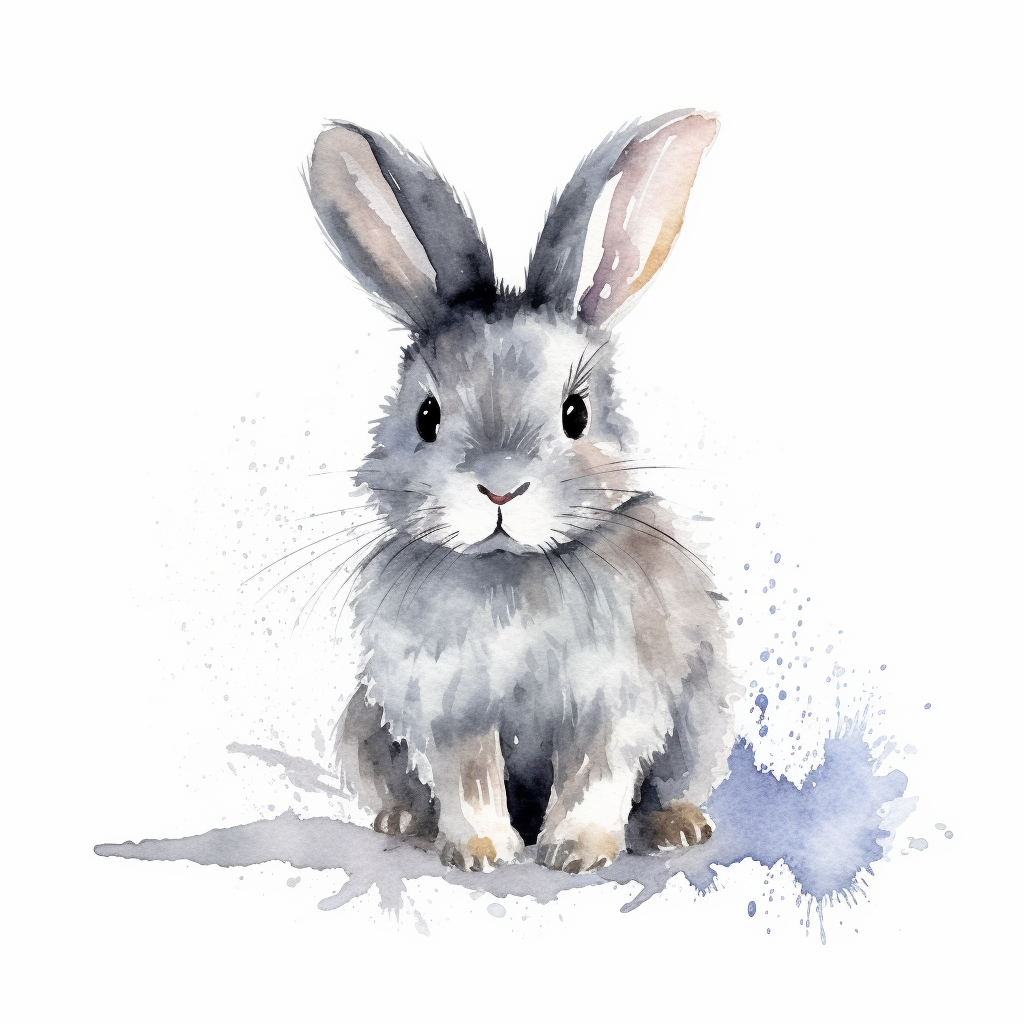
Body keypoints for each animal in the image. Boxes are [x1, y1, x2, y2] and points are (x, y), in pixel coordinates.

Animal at [305, 109, 741, 873]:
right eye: (426, 417)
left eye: (576, 414)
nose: (500, 490)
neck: (512, 570)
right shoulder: (451, 708)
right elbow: (470, 778)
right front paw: (480, 852)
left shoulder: (615, 701)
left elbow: (595, 775)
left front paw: (577, 854)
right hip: (365, 729)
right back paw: (403, 822)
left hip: (704, 720)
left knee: (676, 784)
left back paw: (677, 828)